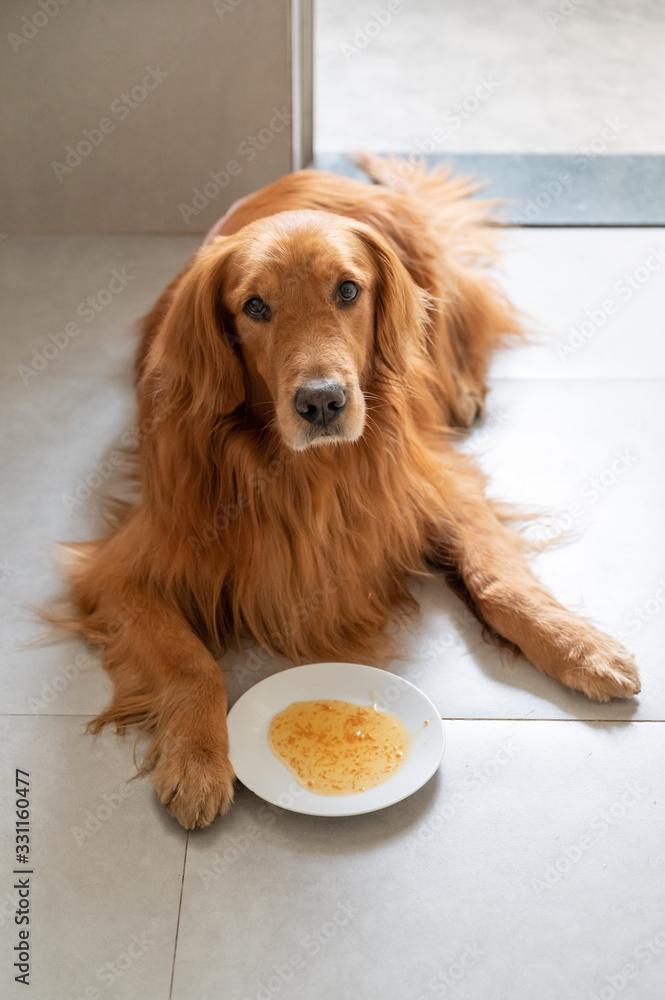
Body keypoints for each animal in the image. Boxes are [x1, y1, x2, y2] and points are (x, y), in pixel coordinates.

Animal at [55, 156, 640, 828]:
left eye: (347, 291)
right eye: (254, 306)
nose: (322, 402)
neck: (304, 473)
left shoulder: (438, 485)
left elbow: (499, 581)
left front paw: (578, 646)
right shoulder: (119, 570)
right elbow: (190, 661)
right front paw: (198, 758)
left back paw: (466, 389)